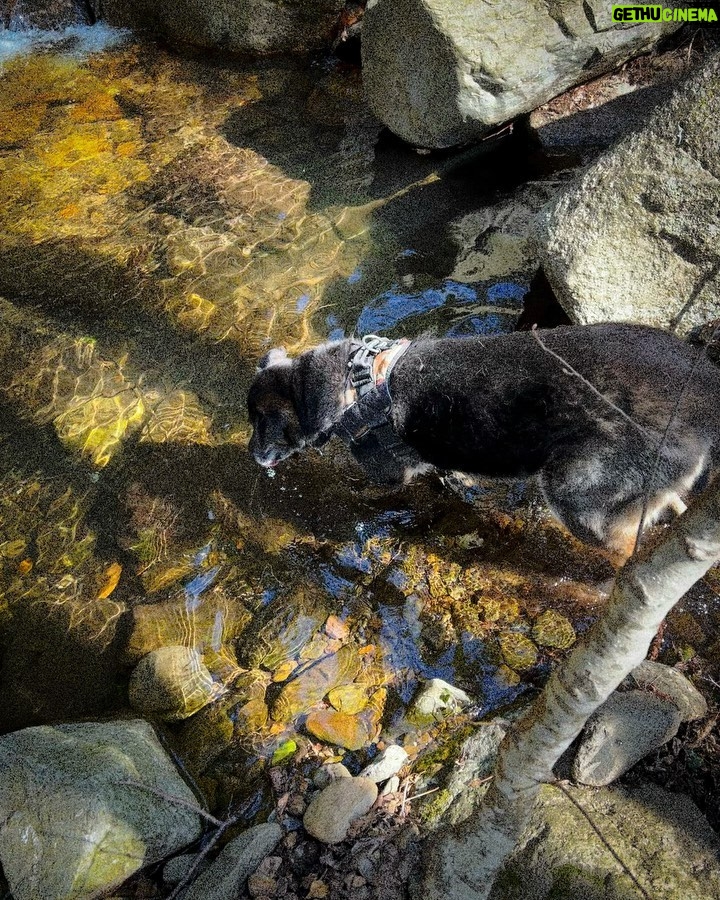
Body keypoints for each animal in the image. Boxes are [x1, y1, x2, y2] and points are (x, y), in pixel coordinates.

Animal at [248, 326, 720, 560]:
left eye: (260, 423)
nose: (251, 455)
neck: (352, 384)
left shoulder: (388, 475)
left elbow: (362, 490)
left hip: (577, 494)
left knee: (623, 553)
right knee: (671, 508)